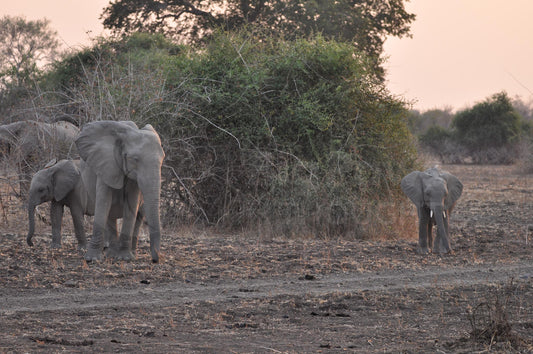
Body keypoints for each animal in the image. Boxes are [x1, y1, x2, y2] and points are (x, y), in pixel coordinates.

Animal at [76, 120, 164, 262]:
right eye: (135, 159)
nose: (156, 259)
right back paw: (111, 254)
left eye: (163, 159)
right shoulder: (106, 165)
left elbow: (132, 204)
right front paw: (92, 259)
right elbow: (103, 203)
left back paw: (130, 253)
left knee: (138, 216)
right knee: (109, 214)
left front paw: (125, 258)